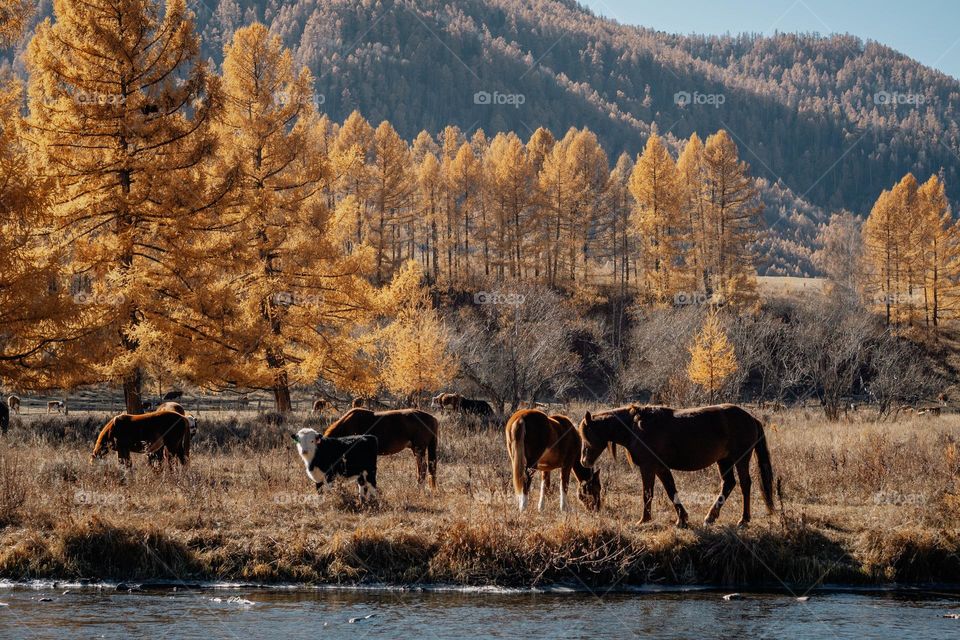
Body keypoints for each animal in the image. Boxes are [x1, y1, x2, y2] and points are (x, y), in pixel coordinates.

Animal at [577, 404, 775, 527]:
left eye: (587, 434)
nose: (584, 461)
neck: (635, 428)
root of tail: (752, 418)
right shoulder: (660, 467)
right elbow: (671, 490)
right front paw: (682, 519)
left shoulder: (648, 467)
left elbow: (647, 493)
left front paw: (644, 520)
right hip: (724, 461)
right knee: (728, 484)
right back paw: (710, 517)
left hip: (741, 459)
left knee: (745, 485)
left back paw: (743, 520)